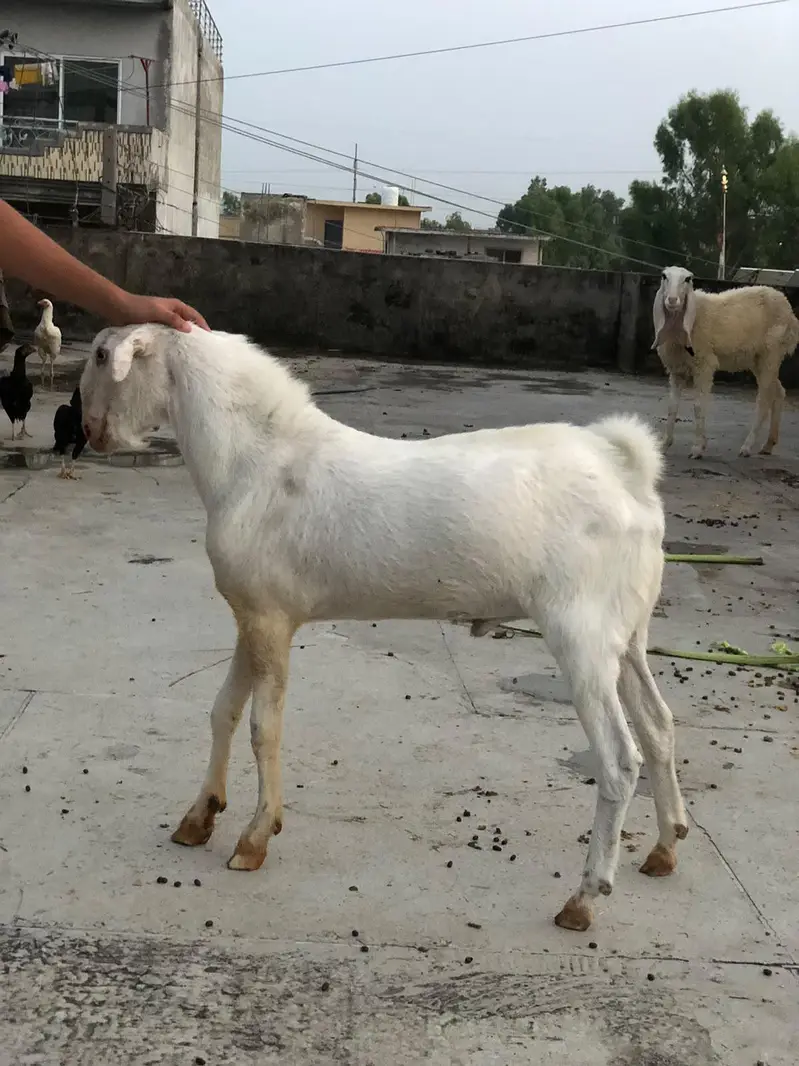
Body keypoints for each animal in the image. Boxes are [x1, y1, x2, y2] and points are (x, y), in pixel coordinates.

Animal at [80, 324, 688, 932]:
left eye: (102, 355)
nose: (87, 431)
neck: (257, 460)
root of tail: (626, 470)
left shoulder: (271, 620)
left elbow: (263, 727)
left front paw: (254, 838)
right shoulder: (250, 615)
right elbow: (223, 711)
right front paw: (198, 818)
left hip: (581, 633)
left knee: (619, 760)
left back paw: (584, 897)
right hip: (625, 635)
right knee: (658, 725)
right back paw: (665, 847)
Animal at [653, 266, 799, 459]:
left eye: (688, 279)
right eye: (664, 276)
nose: (672, 300)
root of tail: (790, 312)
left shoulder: (704, 364)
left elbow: (698, 406)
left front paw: (698, 448)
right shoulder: (677, 370)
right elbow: (672, 407)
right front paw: (664, 444)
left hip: (771, 353)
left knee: (764, 399)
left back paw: (747, 446)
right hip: (758, 359)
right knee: (779, 392)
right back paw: (768, 444)